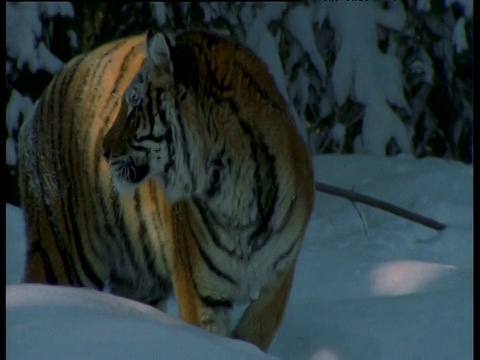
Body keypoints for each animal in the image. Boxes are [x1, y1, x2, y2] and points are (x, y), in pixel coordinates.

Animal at [19, 29, 316, 350]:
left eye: (134, 106)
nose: (104, 151)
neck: (237, 193)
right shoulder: (200, 292)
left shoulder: (277, 281)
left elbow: (255, 335)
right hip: (60, 255)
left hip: (138, 279)